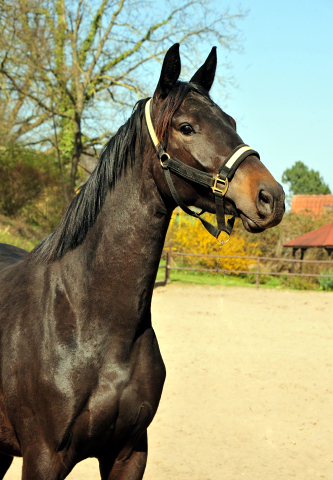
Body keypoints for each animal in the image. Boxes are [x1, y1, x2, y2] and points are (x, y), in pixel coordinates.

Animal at [0, 43, 282, 478]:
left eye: (232, 121)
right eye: (186, 127)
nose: (271, 197)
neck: (89, 322)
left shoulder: (130, 451)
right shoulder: (43, 458)